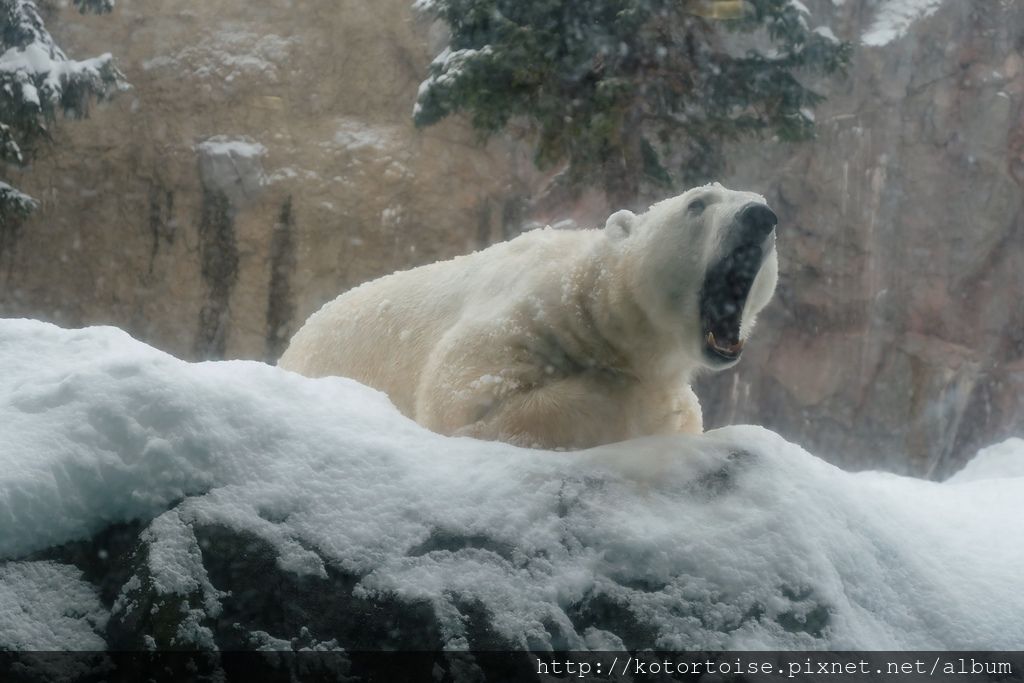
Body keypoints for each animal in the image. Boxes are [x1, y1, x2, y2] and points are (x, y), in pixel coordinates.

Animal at [280, 183, 774, 448]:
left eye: (759, 199)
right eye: (698, 203)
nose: (760, 215)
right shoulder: (526, 317)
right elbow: (467, 404)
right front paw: (650, 407)